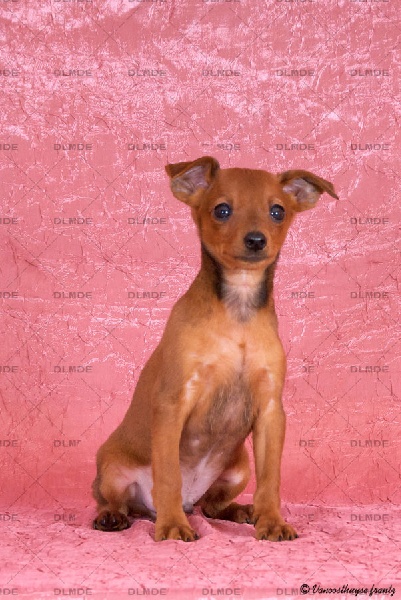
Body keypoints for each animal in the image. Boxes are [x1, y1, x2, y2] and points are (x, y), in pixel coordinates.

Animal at [92, 156, 338, 542]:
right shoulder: (173, 403)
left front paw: (271, 521)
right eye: (222, 210)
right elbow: (168, 475)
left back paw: (242, 511)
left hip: (239, 468)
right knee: (120, 501)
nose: (256, 240)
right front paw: (173, 527)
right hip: (113, 469)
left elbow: (271, 480)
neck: (238, 307)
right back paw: (119, 517)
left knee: (212, 505)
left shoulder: (271, 412)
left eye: (278, 212)